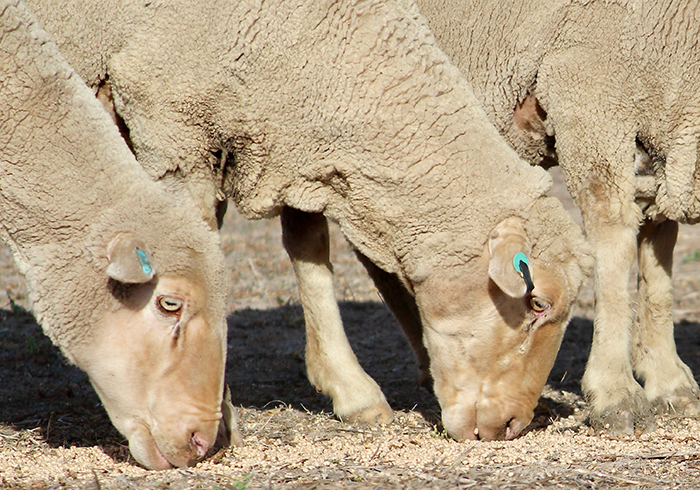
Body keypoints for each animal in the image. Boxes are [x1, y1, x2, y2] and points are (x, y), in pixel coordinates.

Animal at [27, 0, 594, 441]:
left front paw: (350, 388)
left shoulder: (293, 137)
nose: (511, 426)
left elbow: (309, 247)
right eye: (537, 303)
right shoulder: (170, 122)